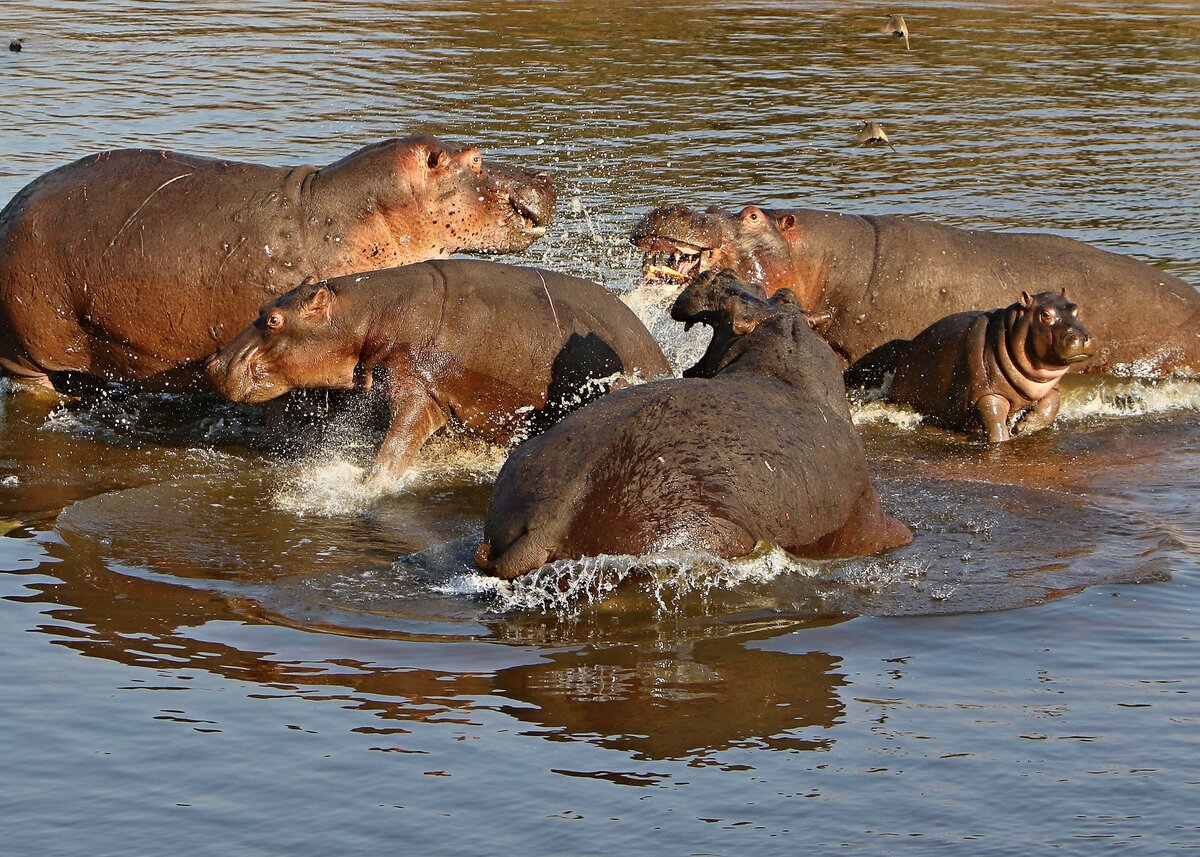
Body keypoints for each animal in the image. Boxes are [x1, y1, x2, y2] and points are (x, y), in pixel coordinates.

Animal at [204, 255, 667, 487]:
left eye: (274, 320)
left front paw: (368, 487)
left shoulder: (419, 387)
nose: (213, 364)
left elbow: (396, 444)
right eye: (264, 306)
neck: (367, 315)